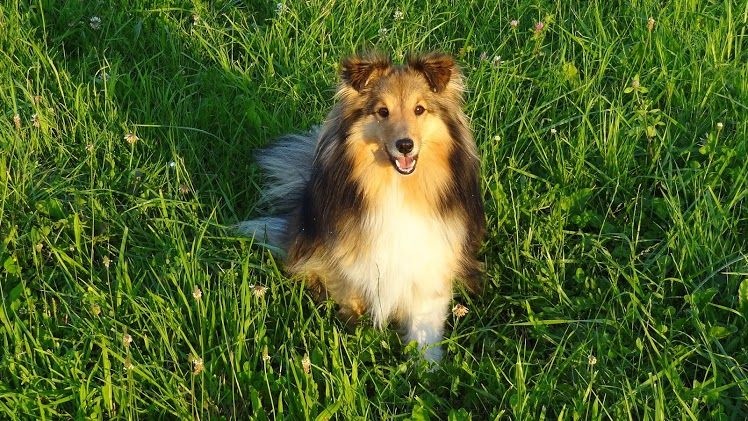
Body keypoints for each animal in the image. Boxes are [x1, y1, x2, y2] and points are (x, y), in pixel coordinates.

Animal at [238, 51, 486, 360]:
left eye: (419, 109)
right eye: (382, 111)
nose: (405, 145)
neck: (399, 187)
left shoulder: (431, 261)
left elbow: (425, 324)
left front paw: (426, 364)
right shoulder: (351, 261)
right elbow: (353, 297)